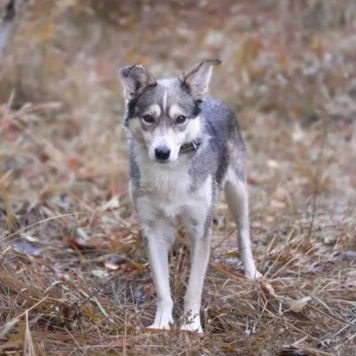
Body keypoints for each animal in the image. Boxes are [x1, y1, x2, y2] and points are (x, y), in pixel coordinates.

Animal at [118, 59, 260, 334]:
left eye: (180, 119)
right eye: (148, 118)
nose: (162, 152)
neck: (168, 174)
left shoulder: (201, 228)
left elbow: (194, 287)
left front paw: (191, 325)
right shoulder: (153, 229)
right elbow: (162, 287)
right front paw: (161, 322)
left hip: (238, 193)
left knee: (243, 232)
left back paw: (251, 271)